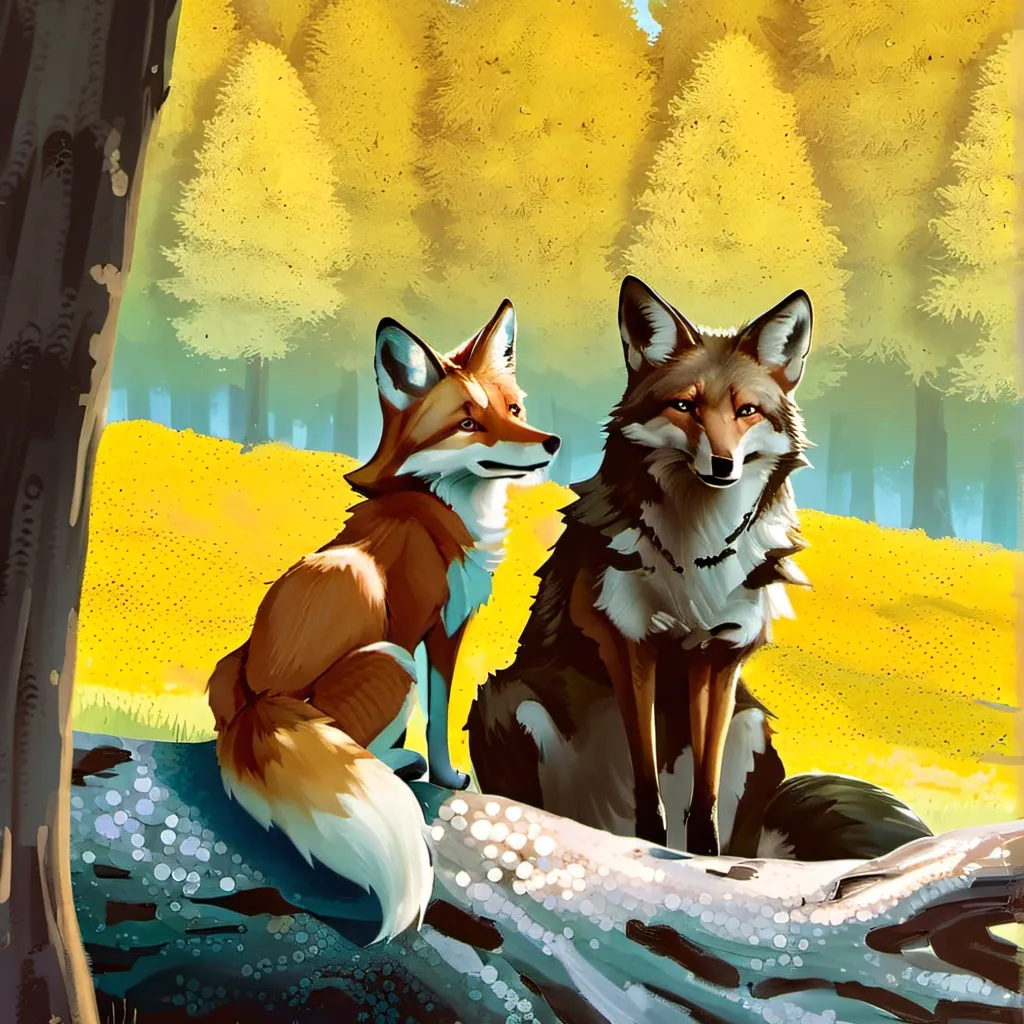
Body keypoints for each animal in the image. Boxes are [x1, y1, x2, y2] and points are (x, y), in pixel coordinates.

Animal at [206, 299, 560, 944]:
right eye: (468, 423)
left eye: (513, 411)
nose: (550, 442)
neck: (435, 502)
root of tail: (258, 703)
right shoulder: (439, 627)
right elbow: (441, 718)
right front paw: (445, 775)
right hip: (392, 663)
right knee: (363, 737)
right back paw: (396, 766)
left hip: (229, 670)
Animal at [467, 275, 932, 861]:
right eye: (685, 406)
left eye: (746, 411)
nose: (723, 465)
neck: (695, 558)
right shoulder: (630, 646)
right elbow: (648, 784)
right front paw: (649, 846)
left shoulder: (720, 657)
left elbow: (703, 797)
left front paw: (701, 856)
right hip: (507, 703)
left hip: (751, 728)